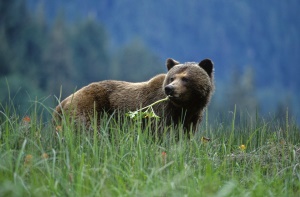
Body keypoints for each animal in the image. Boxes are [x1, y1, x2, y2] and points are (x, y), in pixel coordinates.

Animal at [54, 57, 213, 136]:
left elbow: (185, 136)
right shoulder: (160, 111)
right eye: (172, 77)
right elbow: (160, 133)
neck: (184, 106)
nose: (170, 89)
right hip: (90, 108)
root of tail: (62, 103)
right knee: (90, 131)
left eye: (185, 78)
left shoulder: (191, 117)